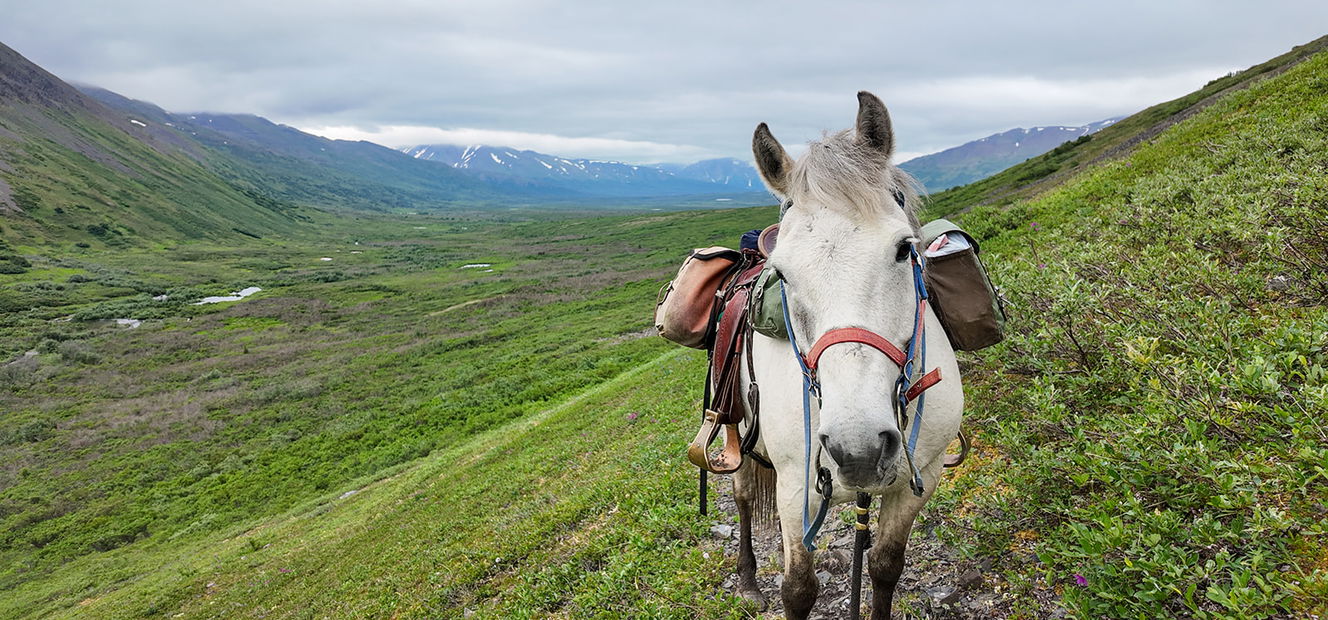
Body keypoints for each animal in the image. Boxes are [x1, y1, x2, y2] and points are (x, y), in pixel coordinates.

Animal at [730, 91, 964, 619]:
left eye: (904, 249)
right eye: (782, 273)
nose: (857, 449)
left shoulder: (920, 478)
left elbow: (884, 566)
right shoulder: (795, 489)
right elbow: (798, 590)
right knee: (741, 493)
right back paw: (749, 578)